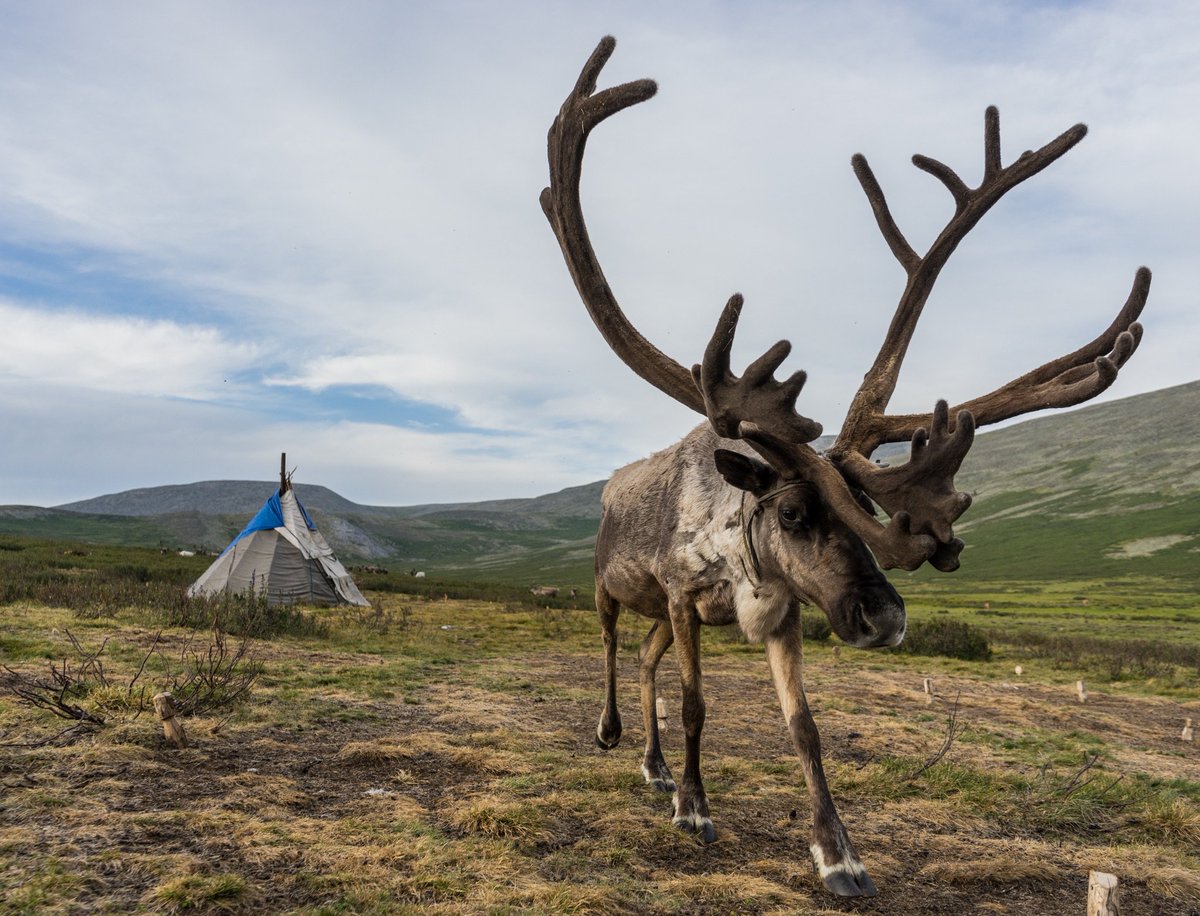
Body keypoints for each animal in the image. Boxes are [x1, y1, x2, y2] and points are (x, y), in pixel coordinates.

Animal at [540, 37, 1149, 898]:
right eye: (795, 513)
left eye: (864, 513)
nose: (887, 617)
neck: (739, 545)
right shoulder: (684, 596)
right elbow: (696, 705)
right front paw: (695, 810)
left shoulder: (784, 613)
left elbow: (806, 729)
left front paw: (839, 853)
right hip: (611, 588)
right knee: (612, 647)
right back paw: (614, 733)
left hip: (660, 615)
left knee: (648, 658)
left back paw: (655, 766)